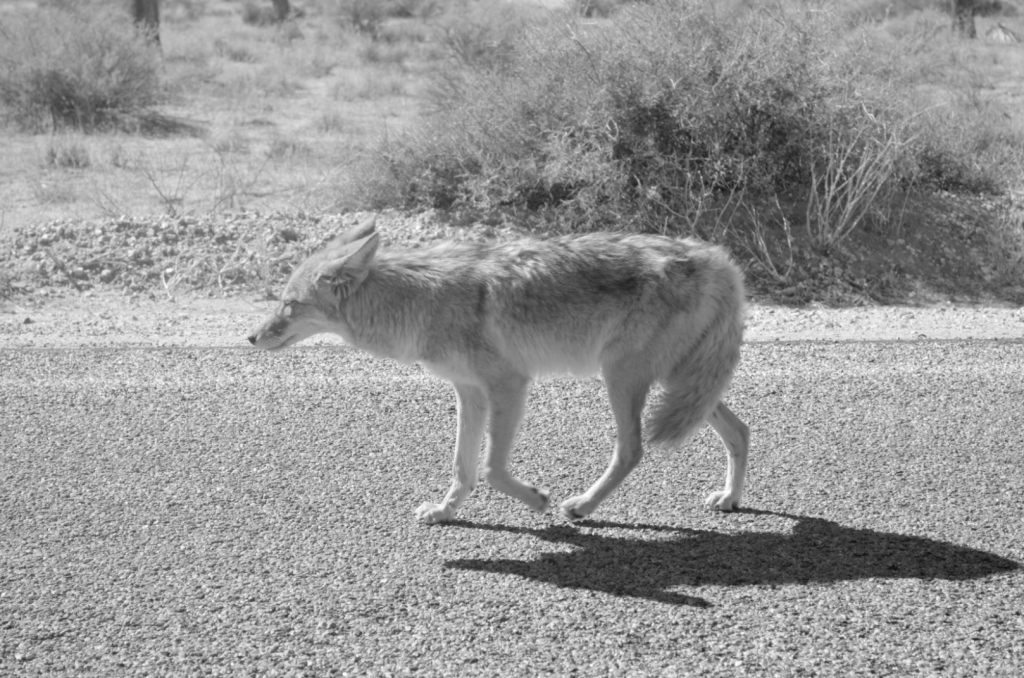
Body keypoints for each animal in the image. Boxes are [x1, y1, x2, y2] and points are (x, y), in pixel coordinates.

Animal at [248, 215, 749, 524]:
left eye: (289, 304)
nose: (250, 337)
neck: (417, 300)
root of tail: (718, 258)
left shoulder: (509, 384)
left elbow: (490, 469)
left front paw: (537, 499)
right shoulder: (468, 391)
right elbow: (463, 466)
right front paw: (445, 512)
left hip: (625, 379)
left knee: (632, 450)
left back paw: (581, 507)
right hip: (680, 386)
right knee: (740, 431)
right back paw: (729, 499)